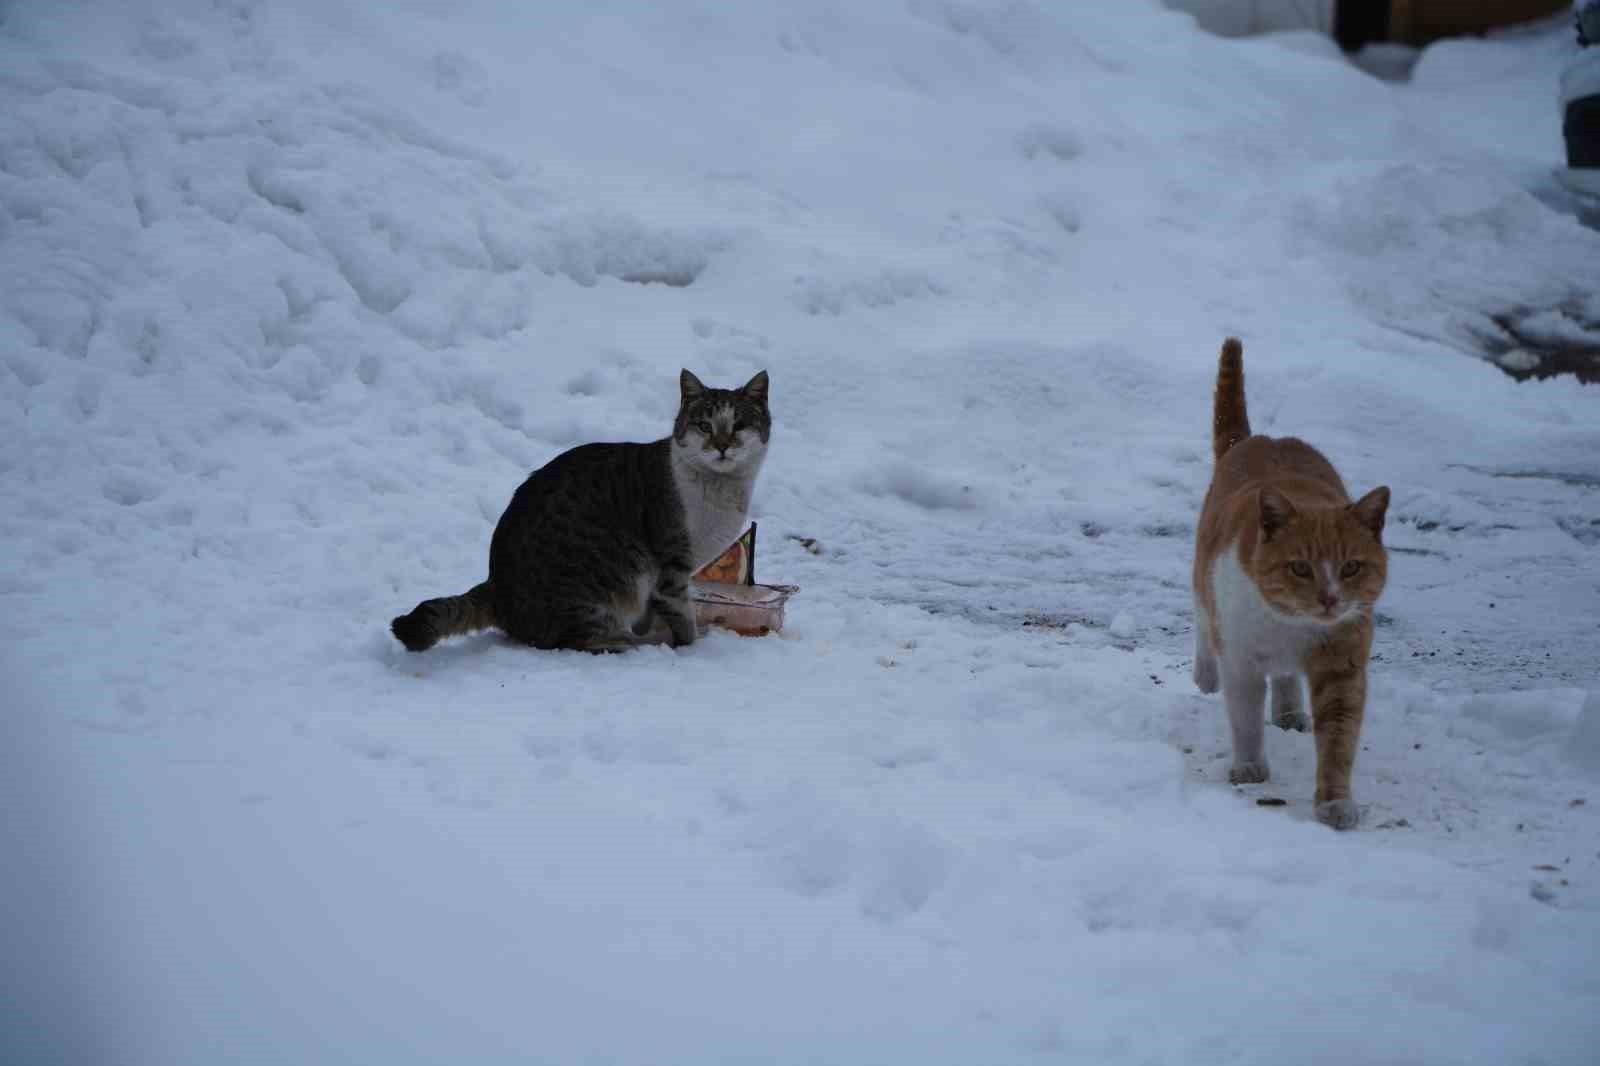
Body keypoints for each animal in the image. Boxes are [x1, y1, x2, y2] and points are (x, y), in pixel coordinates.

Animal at [392, 369, 768, 653]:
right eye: (704, 426)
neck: (720, 488)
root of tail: (496, 585)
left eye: (738, 425)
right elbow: (681, 615)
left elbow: (653, 610)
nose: (721, 446)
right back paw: (637, 642)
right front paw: (690, 642)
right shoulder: (672, 566)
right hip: (595, 593)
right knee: (583, 641)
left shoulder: (661, 582)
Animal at [1190, 336, 1388, 825]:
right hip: (1204, 581)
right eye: (1300, 567)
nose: (1329, 598)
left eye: (1351, 567)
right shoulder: (1240, 657)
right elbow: (1244, 717)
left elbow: (1338, 739)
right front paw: (1249, 767)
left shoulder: (1343, 665)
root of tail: (1257, 439)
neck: (1291, 627)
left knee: (1284, 679)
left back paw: (1290, 710)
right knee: (1201, 619)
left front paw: (1335, 803)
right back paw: (1205, 674)